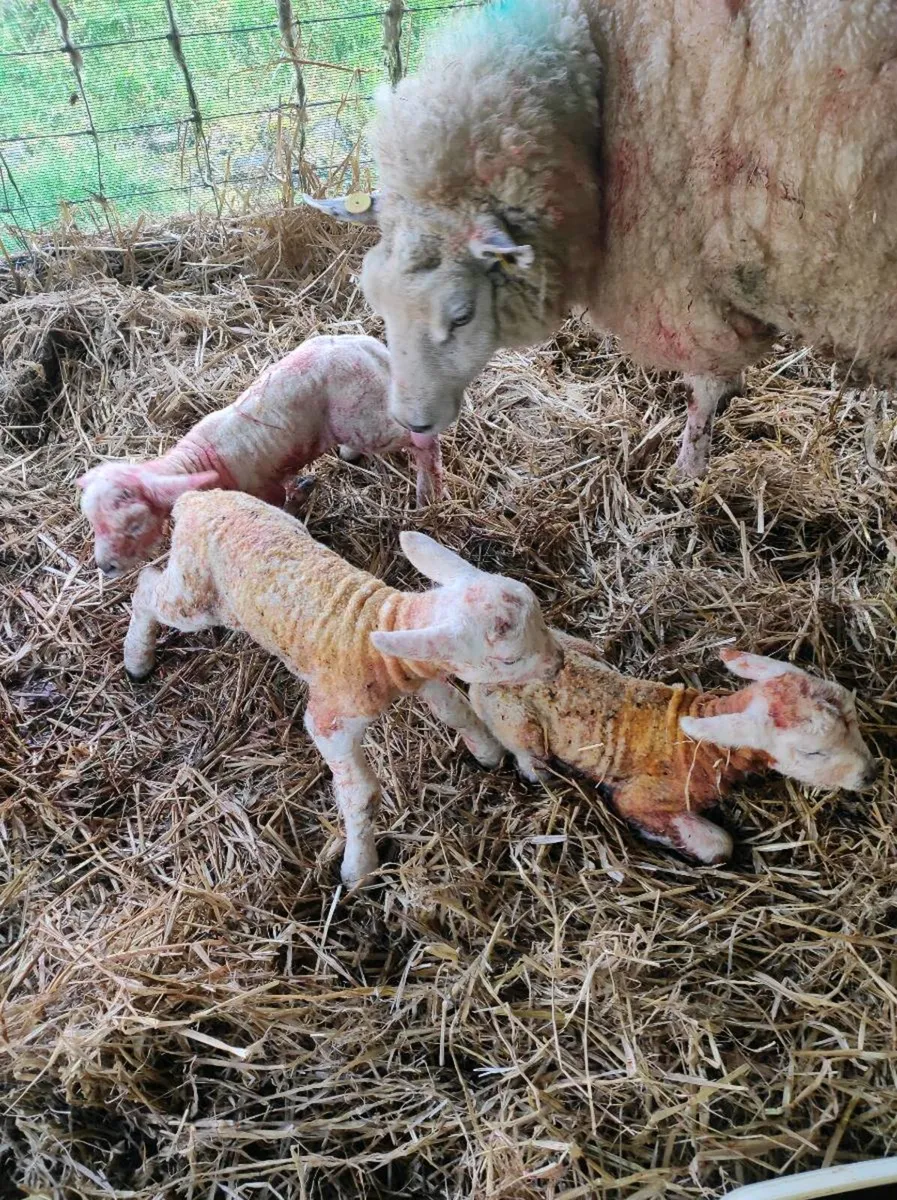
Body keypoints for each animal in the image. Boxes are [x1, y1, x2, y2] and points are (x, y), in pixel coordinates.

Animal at [78, 334, 443, 577]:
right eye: (93, 523)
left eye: (135, 525)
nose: (105, 567)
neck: (200, 460)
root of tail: (370, 349)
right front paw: (304, 489)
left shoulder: (262, 489)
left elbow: (280, 508)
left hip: (365, 422)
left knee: (423, 441)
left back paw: (428, 496)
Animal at [123, 490, 563, 885]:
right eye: (508, 660)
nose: (557, 663)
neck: (381, 631)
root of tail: (193, 500)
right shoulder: (330, 720)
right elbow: (362, 793)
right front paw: (359, 869)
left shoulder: (420, 671)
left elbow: (457, 710)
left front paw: (488, 753)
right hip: (195, 594)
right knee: (147, 589)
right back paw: (137, 660)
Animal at [306, 0, 897, 476]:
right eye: (376, 302)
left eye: (462, 315)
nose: (412, 422)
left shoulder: (689, 282)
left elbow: (707, 386)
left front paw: (688, 469)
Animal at [469, 637, 878, 864]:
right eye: (813, 753)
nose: (870, 775)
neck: (704, 746)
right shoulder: (638, 796)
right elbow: (718, 845)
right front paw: (664, 837)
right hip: (515, 721)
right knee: (529, 758)